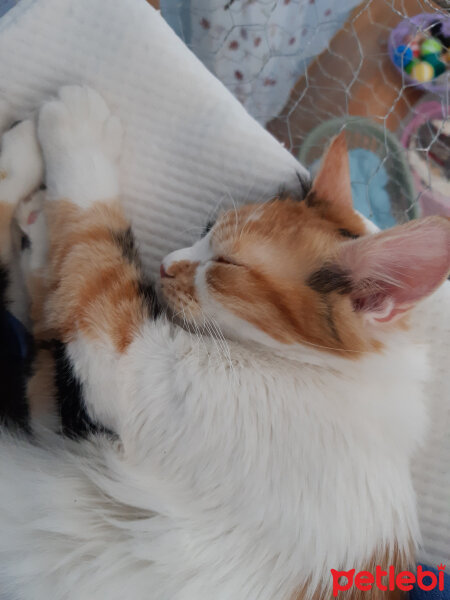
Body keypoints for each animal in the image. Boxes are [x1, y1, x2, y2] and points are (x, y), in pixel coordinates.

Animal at [0, 85, 448, 600]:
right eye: (204, 230)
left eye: (226, 264)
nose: (164, 265)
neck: (335, 376)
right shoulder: (59, 410)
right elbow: (52, 303)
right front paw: (38, 226)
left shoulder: (126, 362)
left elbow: (88, 245)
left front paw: (78, 126)